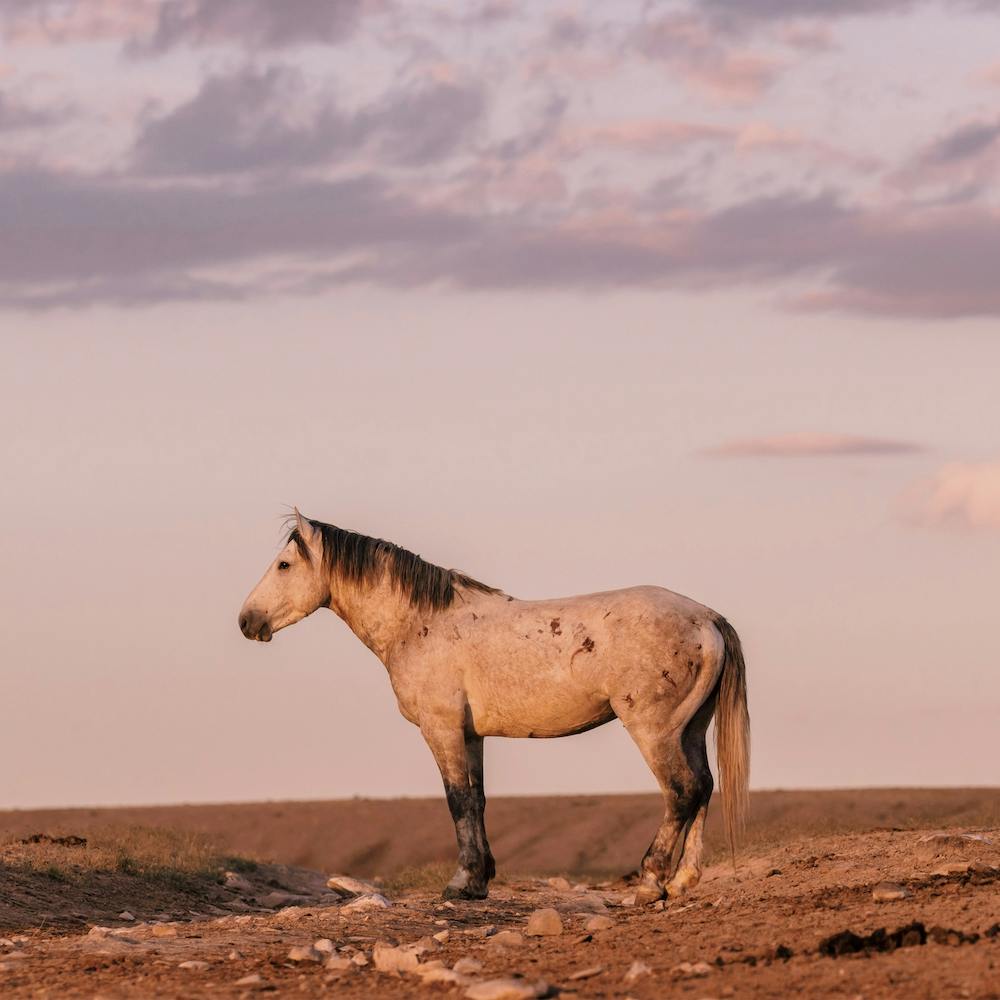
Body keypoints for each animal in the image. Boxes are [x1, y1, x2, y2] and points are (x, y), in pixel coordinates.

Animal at [238, 509, 750, 904]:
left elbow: (457, 800)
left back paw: (651, 882)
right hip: (690, 729)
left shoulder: (441, 729)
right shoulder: (471, 734)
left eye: (284, 565)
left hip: (653, 730)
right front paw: (480, 881)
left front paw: (461, 883)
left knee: (681, 792)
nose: (247, 621)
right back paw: (683, 881)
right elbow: (478, 800)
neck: (420, 624)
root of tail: (706, 619)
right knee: (704, 786)